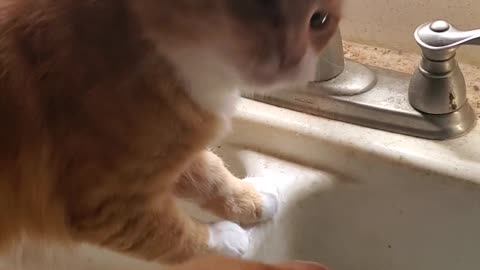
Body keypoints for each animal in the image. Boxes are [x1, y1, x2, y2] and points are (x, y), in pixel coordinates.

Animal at [0, 0, 342, 268]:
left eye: (319, 21)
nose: (294, 60)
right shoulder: (106, 204)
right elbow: (174, 235)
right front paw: (224, 237)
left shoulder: (171, 144)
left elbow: (212, 174)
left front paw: (252, 199)